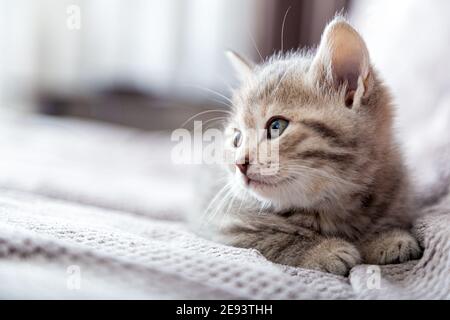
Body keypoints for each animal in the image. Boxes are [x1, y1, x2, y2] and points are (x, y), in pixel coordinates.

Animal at [200, 16, 422, 276]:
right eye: (237, 139)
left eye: (276, 126)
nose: (239, 163)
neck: (333, 203)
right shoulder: (227, 226)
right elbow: (275, 239)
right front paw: (323, 251)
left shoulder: (399, 195)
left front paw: (385, 237)